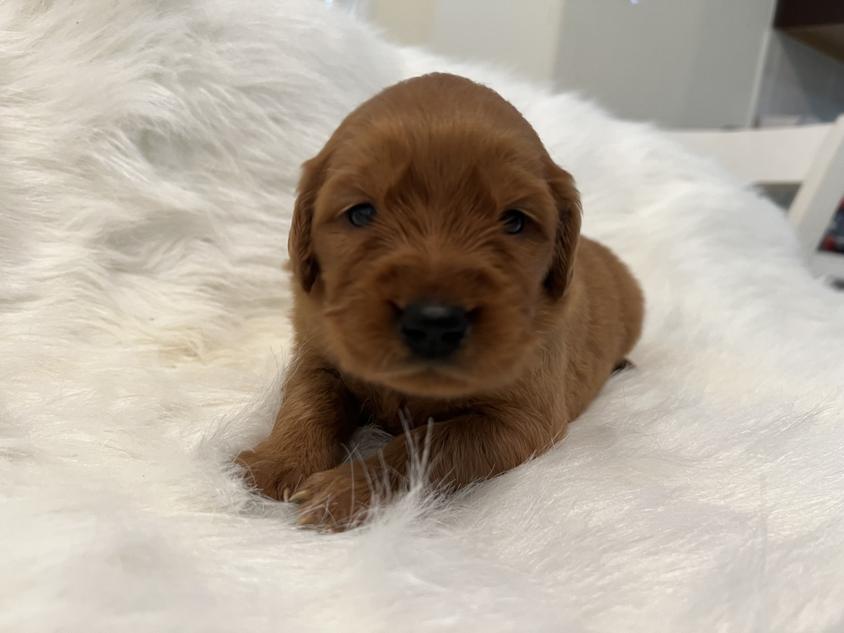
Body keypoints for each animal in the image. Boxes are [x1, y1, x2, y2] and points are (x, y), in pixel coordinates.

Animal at [234, 73, 644, 528]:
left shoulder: (523, 418)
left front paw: (343, 491)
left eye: (514, 221)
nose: (434, 321)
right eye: (360, 213)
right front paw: (276, 463)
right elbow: (307, 401)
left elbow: (427, 446)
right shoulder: (318, 352)